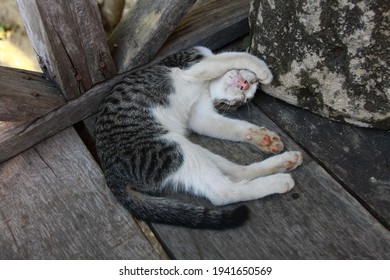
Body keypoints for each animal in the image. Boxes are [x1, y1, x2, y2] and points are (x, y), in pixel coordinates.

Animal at [96, 46, 304, 230]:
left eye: (243, 98)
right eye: (247, 90)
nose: (245, 86)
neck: (206, 87)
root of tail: (111, 172)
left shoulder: (200, 117)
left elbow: (232, 126)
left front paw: (262, 137)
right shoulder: (192, 67)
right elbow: (233, 56)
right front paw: (262, 69)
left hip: (177, 149)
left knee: (232, 177)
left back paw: (284, 164)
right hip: (169, 148)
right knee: (223, 191)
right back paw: (279, 180)